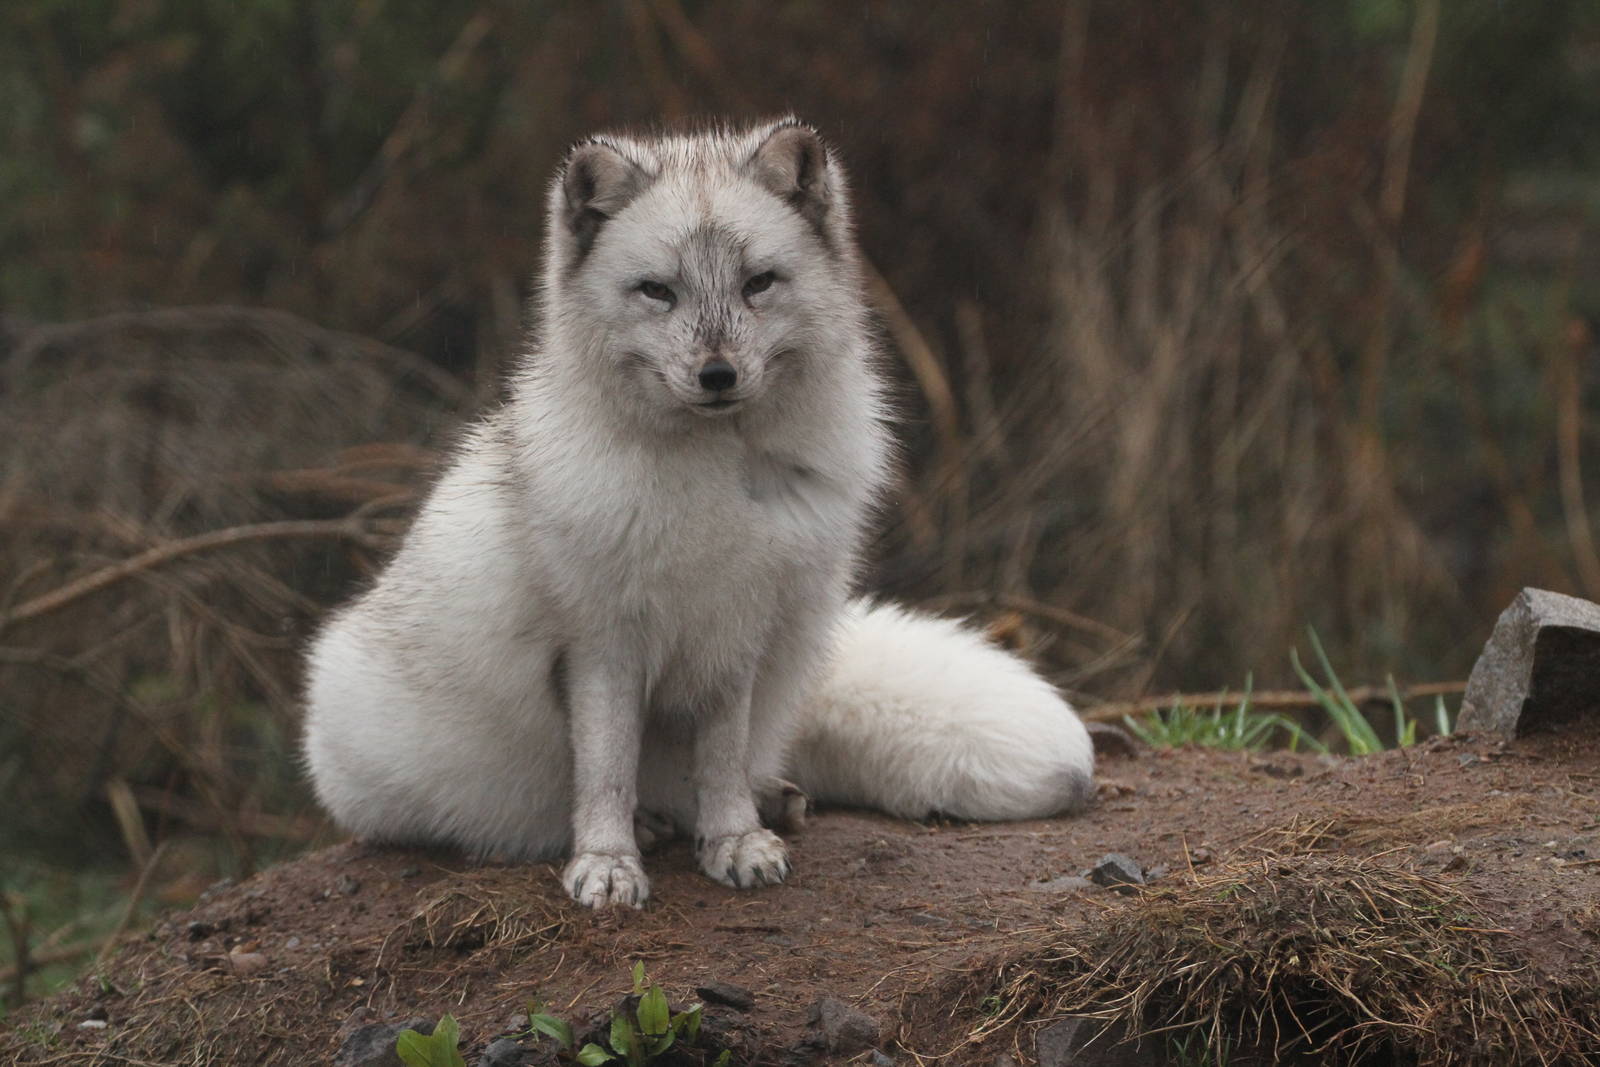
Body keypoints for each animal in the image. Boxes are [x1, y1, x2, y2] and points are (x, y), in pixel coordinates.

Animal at [301, 118, 1094, 909]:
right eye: (657, 291)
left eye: (758, 283)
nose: (718, 374)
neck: (713, 481)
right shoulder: (602, 644)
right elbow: (605, 768)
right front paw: (608, 860)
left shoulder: (734, 635)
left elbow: (720, 759)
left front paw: (735, 839)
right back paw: (644, 826)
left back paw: (761, 802)